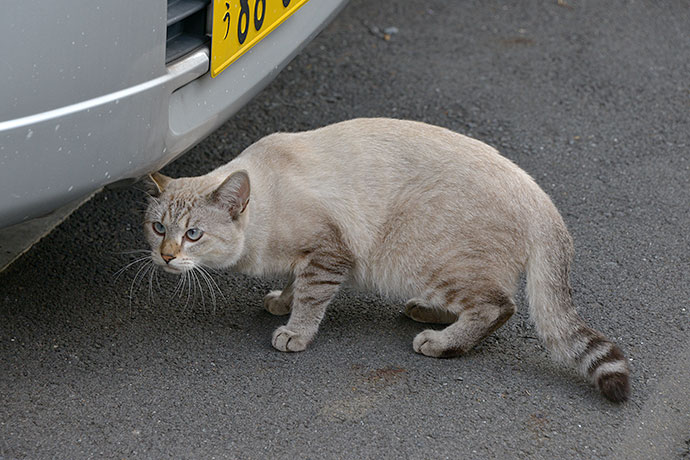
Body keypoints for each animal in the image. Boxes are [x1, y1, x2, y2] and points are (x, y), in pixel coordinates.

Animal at [144, 118, 628, 402]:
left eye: (193, 234)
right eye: (157, 228)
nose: (166, 257)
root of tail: (538, 193)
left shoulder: (329, 253)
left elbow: (310, 299)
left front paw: (294, 332)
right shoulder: (306, 257)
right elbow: (294, 284)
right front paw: (281, 301)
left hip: (426, 260)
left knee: (497, 306)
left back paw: (440, 342)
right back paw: (427, 314)